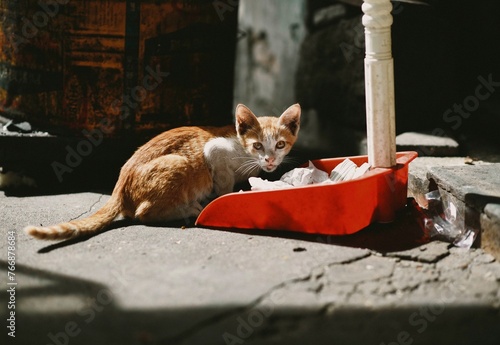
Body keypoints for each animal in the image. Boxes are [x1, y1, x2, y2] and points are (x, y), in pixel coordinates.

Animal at [25, 103, 300, 241]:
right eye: (257, 145)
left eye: (280, 145)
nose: (270, 160)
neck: (243, 153)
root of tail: (119, 186)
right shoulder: (215, 149)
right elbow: (223, 181)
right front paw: (223, 197)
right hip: (179, 163)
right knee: (143, 213)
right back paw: (189, 208)